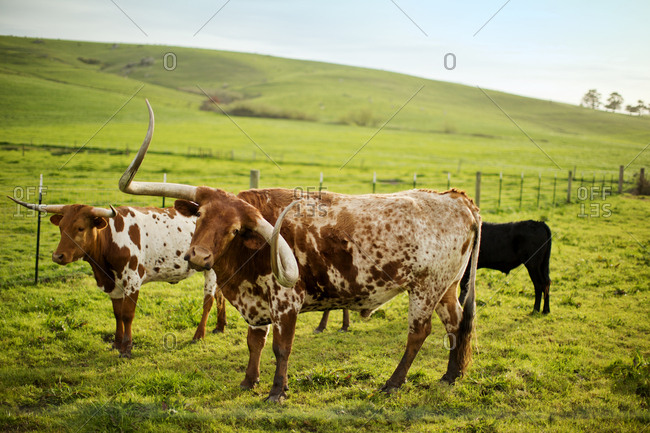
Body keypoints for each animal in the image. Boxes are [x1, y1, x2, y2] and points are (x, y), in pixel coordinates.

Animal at [8, 197, 227, 358]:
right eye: (61, 227)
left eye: (80, 228)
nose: (57, 256)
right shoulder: (113, 284)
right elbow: (117, 313)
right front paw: (116, 343)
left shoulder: (133, 280)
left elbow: (127, 314)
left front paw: (127, 348)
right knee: (220, 296)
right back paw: (220, 327)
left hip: (210, 270)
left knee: (208, 300)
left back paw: (199, 335)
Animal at [117, 100, 481, 402]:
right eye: (202, 216)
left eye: (235, 229)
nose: (198, 257)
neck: (247, 257)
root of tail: (457, 198)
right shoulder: (256, 302)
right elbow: (254, 342)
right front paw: (248, 381)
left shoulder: (285, 302)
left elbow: (281, 347)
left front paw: (277, 391)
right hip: (447, 287)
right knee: (455, 324)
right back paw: (451, 376)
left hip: (425, 287)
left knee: (419, 332)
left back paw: (393, 383)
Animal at [315, 220, 552, 331]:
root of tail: (541, 224)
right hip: (539, 265)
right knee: (545, 284)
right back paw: (542, 310)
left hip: (534, 264)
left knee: (541, 284)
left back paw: (538, 309)